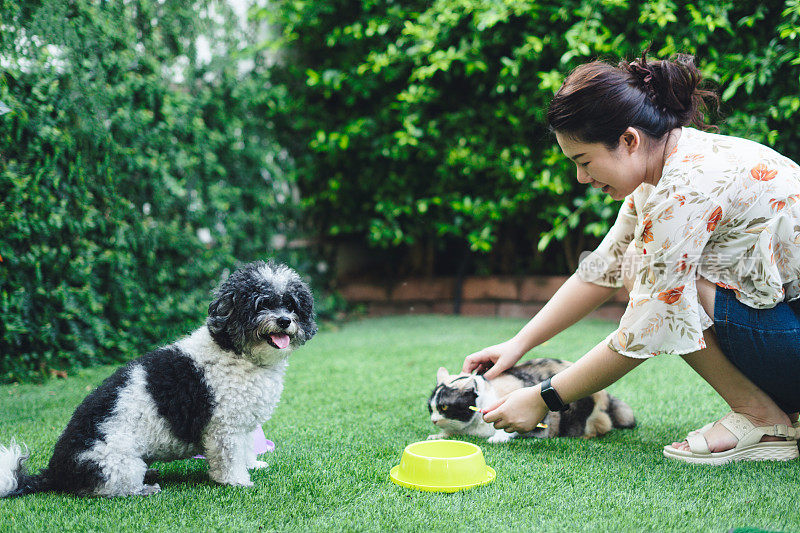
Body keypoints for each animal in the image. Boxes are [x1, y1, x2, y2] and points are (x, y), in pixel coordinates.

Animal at [0, 260, 316, 496]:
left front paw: (251, 466)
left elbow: (247, 448)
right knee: (107, 489)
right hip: (117, 462)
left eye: (291, 304)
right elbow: (229, 457)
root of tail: (55, 471)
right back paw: (145, 489)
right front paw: (237, 481)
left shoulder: (244, 423)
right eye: (261, 304)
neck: (236, 352)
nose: (284, 321)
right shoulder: (225, 427)